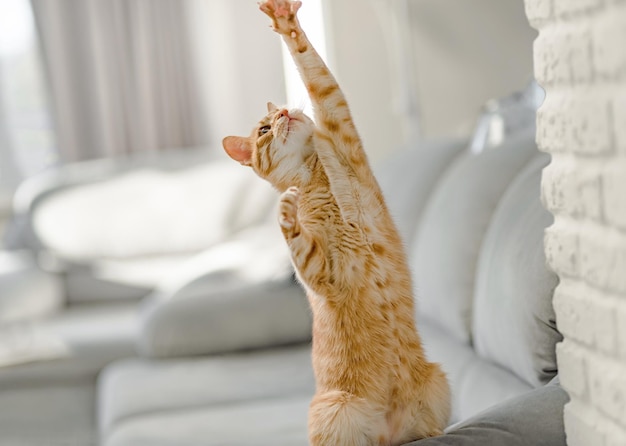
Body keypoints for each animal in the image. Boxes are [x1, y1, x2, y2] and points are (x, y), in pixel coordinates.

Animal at [222, 1, 450, 444]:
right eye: (264, 128)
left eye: (281, 111)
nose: (286, 112)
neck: (316, 177)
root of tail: (389, 432)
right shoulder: (323, 271)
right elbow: (297, 242)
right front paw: (286, 210)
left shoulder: (341, 127)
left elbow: (316, 76)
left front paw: (288, 25)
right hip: (334, 409)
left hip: (436, 382)